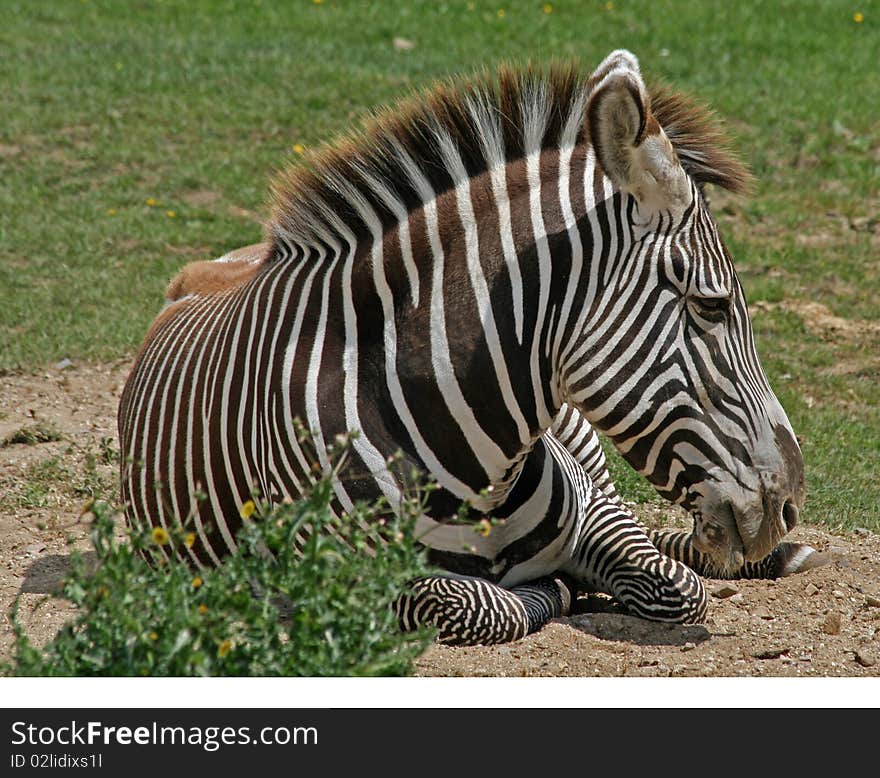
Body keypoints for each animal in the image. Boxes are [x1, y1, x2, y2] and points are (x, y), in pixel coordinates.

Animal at [118, 48, 824, 644]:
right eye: (712, 307)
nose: (790, 505)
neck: (476, 474)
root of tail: (222, 262)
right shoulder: (347, 574)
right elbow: (485, 603)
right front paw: (556, 590)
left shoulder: (595, 513)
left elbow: (676, 587)